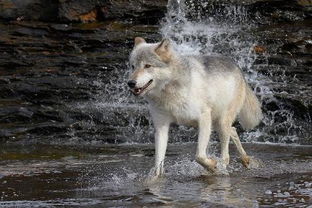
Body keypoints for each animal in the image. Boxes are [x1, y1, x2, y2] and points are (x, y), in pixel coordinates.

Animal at [127, 37, 264, 177]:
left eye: (147, 66)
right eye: (133, 66)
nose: (130, 83)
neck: (169, 92)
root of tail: (237, 67)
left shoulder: (204, 118)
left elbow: (199, 156)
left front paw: (212, 166)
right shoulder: (161, 127)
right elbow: (158, 165)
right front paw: (155, 178)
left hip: (220, 122)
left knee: (226, 155)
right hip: (215, 124)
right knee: (234, 130)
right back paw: (245, 159)